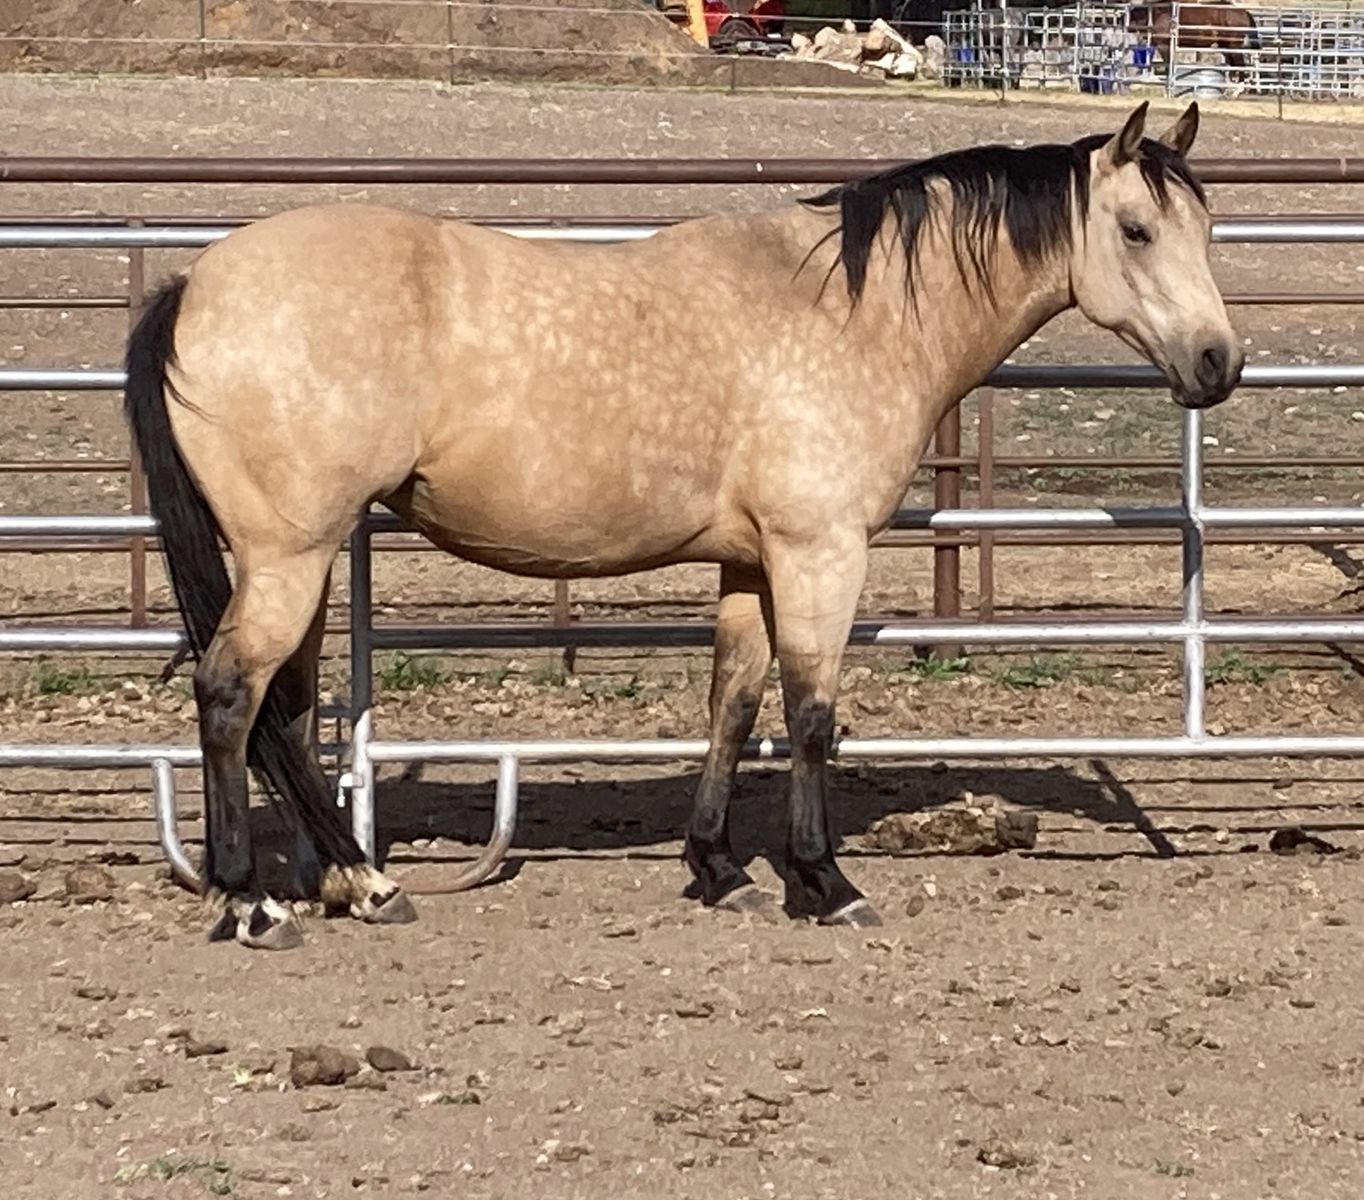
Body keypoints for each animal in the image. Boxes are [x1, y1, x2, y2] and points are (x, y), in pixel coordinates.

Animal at [123, 101, 1242, 951]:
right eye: (1135, 231)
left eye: (1204, 232)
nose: (1217, 362)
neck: (854, 312)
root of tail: (196, 282)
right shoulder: (819, 553)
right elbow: (809, 715)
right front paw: (822, 883)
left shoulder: (750, 563)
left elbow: (732, 704)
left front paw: (718, 869)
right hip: (290, 554)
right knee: (231, 696)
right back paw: (250, 901)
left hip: (297, 559)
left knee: (285, 710)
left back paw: (355, 884)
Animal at [1129, 0, 1262, 76]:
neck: (1157, 12)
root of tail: (1244, 12)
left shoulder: (1164, 46)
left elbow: (1167, 64)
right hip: (1225, 47)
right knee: (1234, 66)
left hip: (1233, 46)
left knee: (1240, 65)